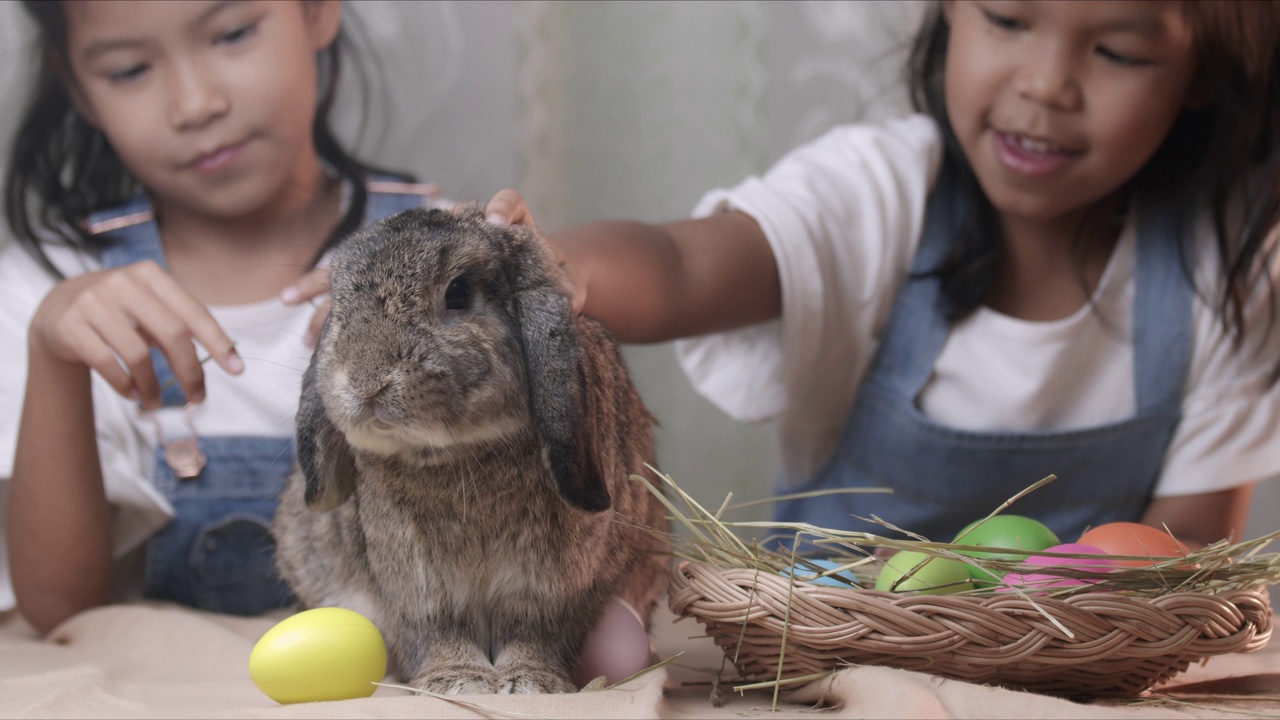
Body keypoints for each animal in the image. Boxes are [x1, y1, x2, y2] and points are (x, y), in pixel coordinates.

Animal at [270, 202, 670, 691]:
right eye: (338, 303)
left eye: (458, 293)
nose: (367, 382)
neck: (457, 454)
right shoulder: (417, 582)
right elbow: (439, 627)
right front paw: (457, 679)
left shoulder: (553, 584)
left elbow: (534, 631)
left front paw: (530, 681)